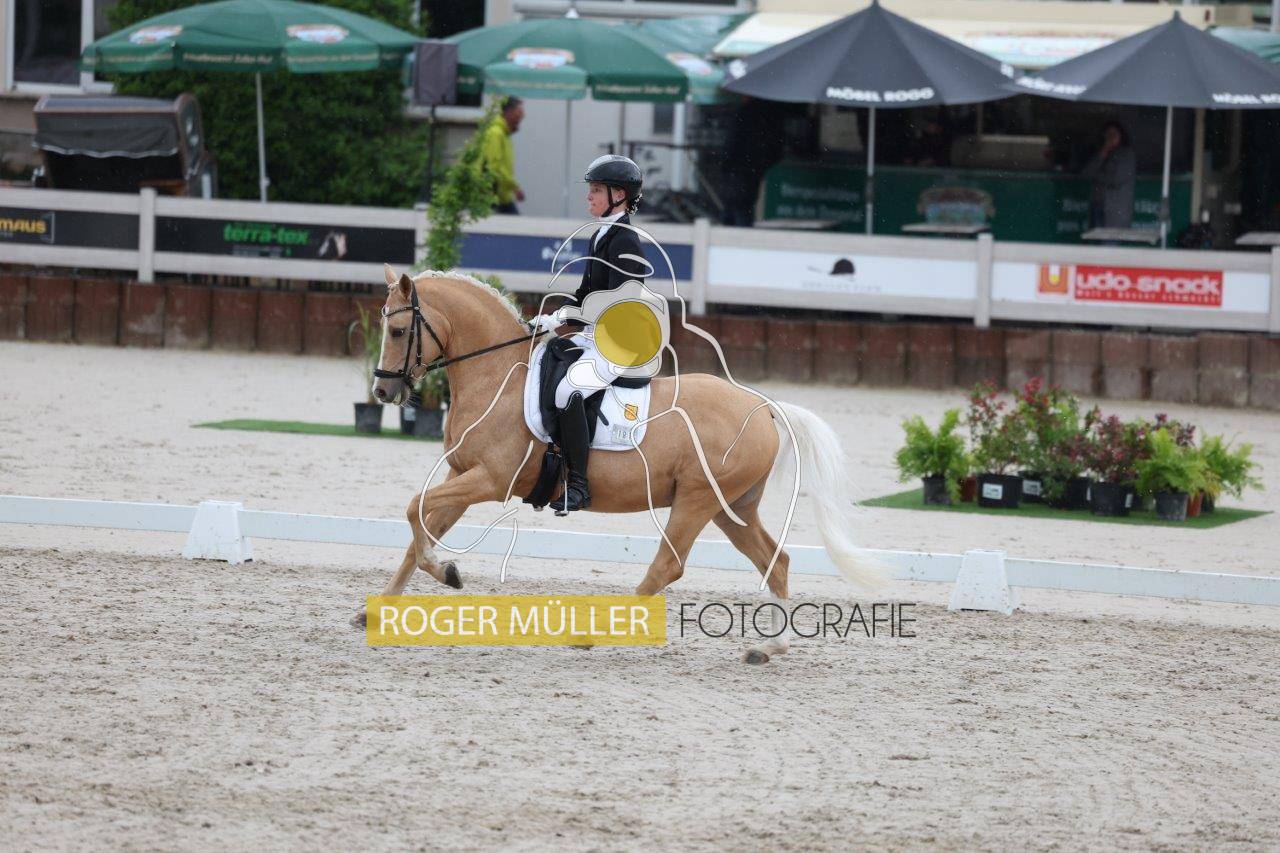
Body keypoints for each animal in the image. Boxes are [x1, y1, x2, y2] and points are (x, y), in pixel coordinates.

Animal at [355, 265, 885, 663]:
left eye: (398, 330)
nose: (382, 391)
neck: (495, 378)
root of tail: (762, 406)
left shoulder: (489, 480)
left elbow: (413, 509)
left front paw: (447, 573)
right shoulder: (460, 474)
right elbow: (420, 526)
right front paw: (379, 610)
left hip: (697, 500)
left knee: (667, 566)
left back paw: (593, 634)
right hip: (731, 507)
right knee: (774, 560)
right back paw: (768, 648)